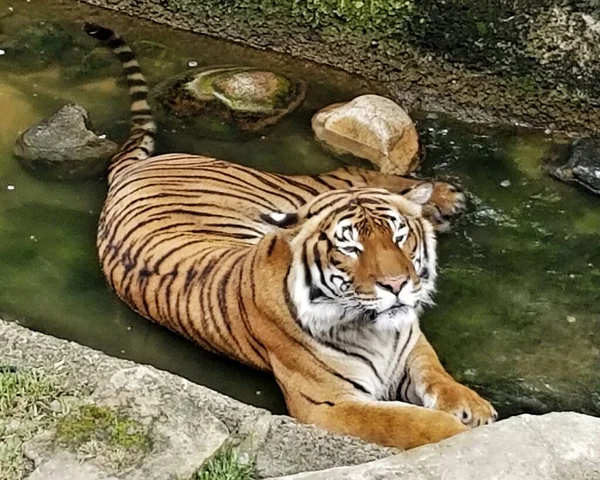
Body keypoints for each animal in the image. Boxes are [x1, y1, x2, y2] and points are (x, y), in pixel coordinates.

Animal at [84, 22, 494, 450]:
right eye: (350, 248)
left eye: (400, 238)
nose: (397, 285)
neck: (374, 328)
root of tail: (128, 170)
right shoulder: (329, 405)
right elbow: (409, 423)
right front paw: (461, 435)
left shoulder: (409, 342)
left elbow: (434, 371)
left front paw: (472, 406)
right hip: (296, 190)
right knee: (352, 172)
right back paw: (443, 199)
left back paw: (441, 199)